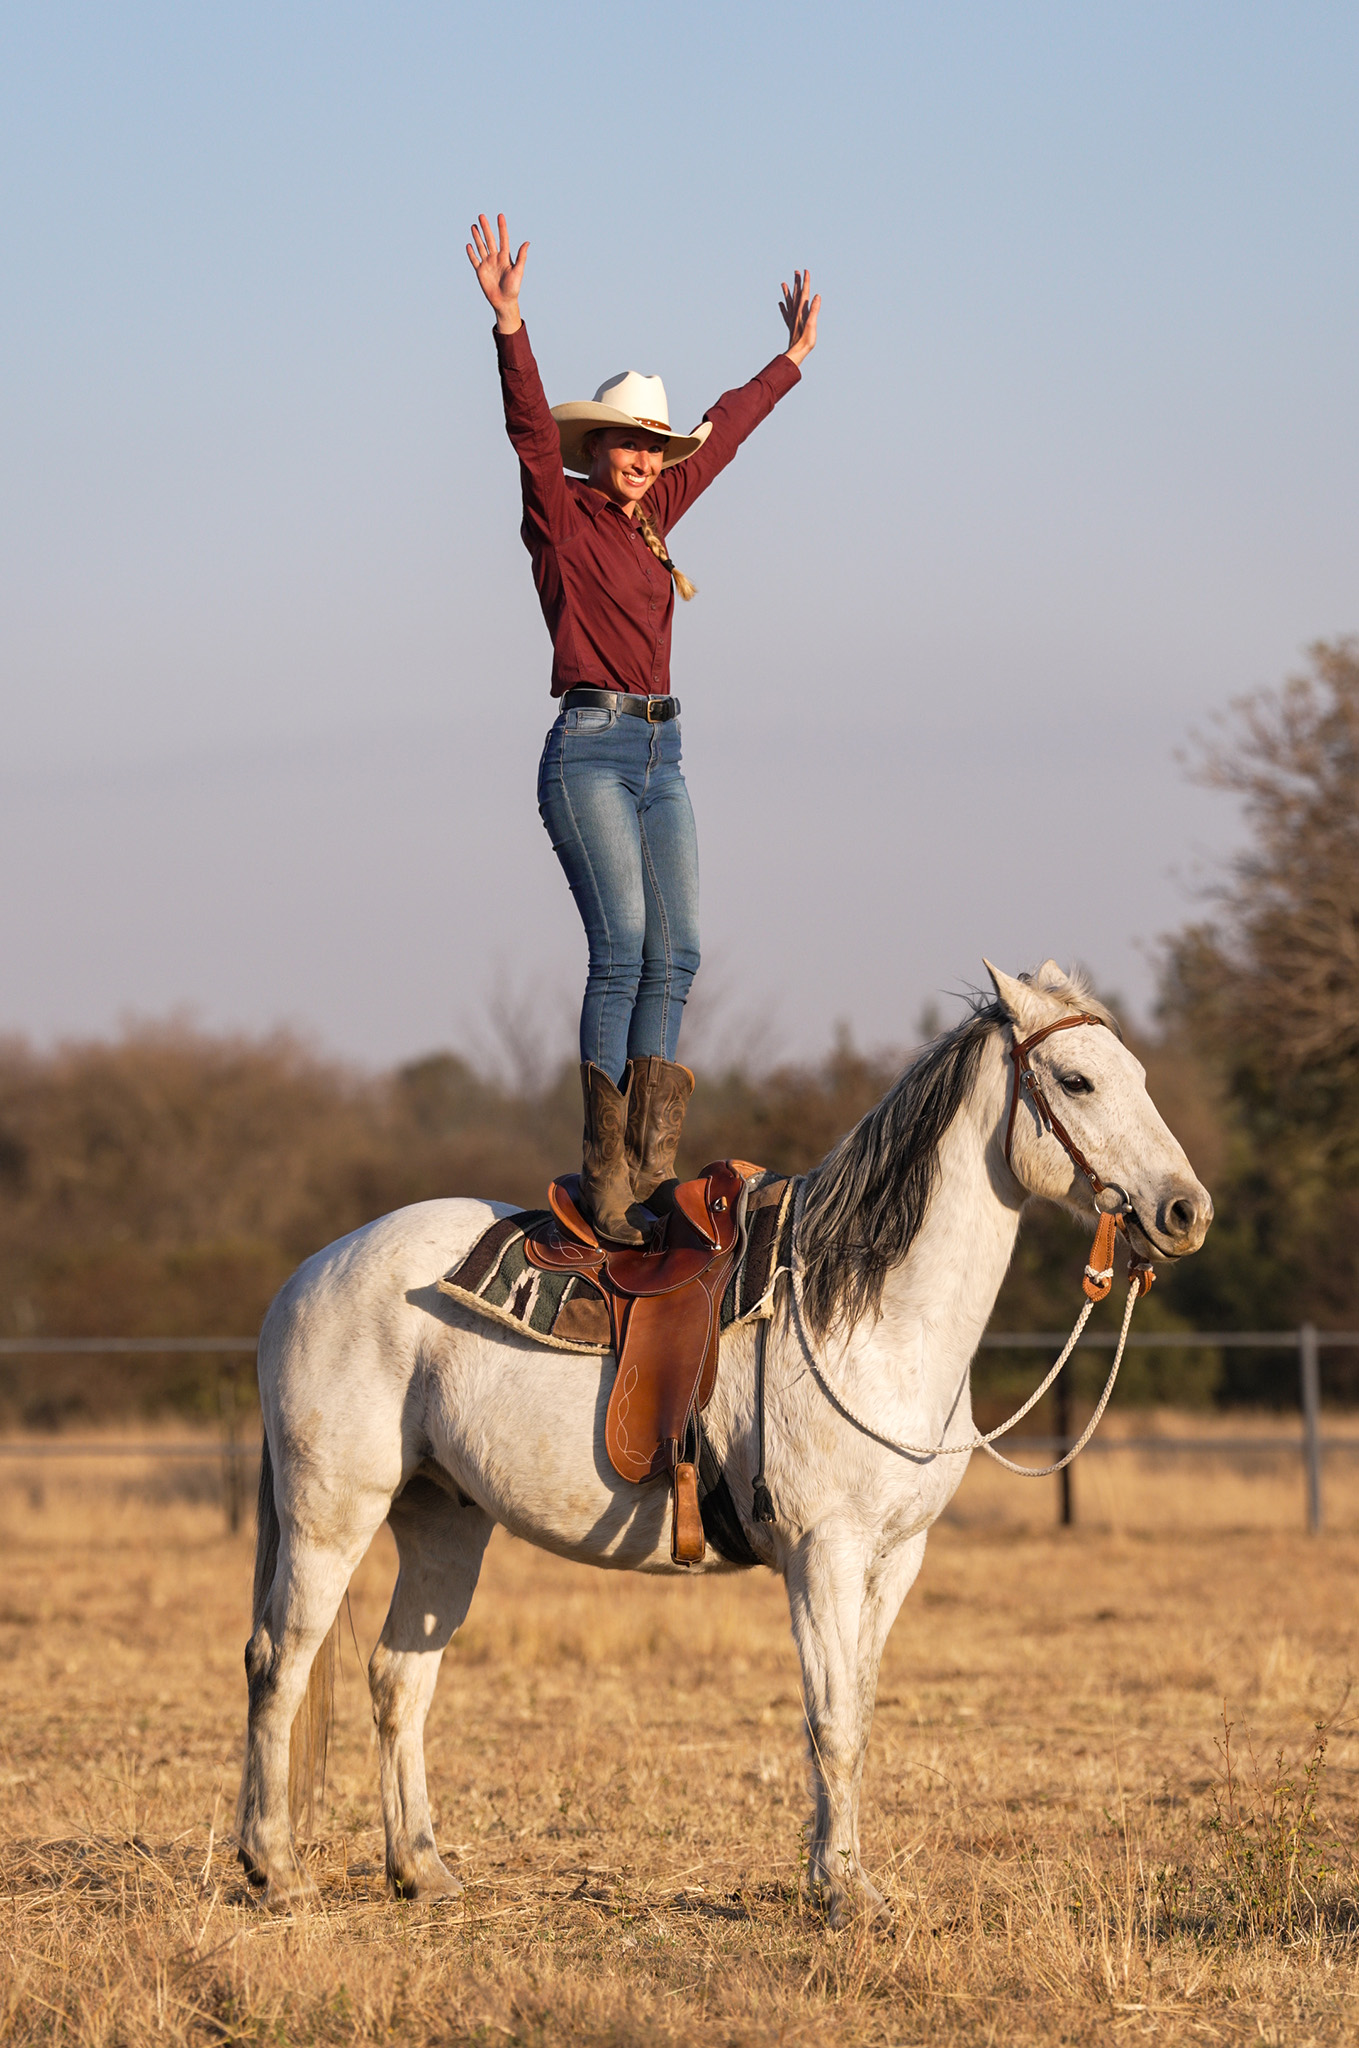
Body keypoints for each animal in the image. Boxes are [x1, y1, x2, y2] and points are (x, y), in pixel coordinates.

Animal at [236, 960, 1212, 1922]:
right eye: (1076, 1081)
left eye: (1139, 1075)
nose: (1184, 1211)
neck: (867, 1317)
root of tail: (307, 1276)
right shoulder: (823, 1552)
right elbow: (830, 1720)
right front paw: (843, 1891)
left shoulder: (896, 1557)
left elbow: (856, 1711)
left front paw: (839, 1877)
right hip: (331, 1516)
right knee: (280, 1664)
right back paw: (276, 1869)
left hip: (444, 1522)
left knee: (397, 1677)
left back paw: (421, 1870)